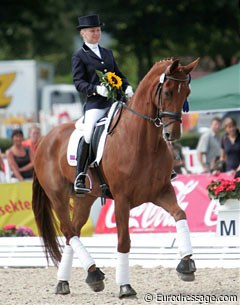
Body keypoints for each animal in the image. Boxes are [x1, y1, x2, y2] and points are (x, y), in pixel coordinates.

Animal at [32, 57, 200, 296]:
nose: (172, 134)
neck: (143, 141)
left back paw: (68, 281)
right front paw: (125, 286)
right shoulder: (122, 199)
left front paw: (186, 265)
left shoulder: (161, 191)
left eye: (186, 93)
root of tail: (44, 140)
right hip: (58, 196)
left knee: (73, 231)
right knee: (68, 230)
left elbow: (180, 215)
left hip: (85, 198)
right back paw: (93, 273)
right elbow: (123, 241)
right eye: (167, 92)